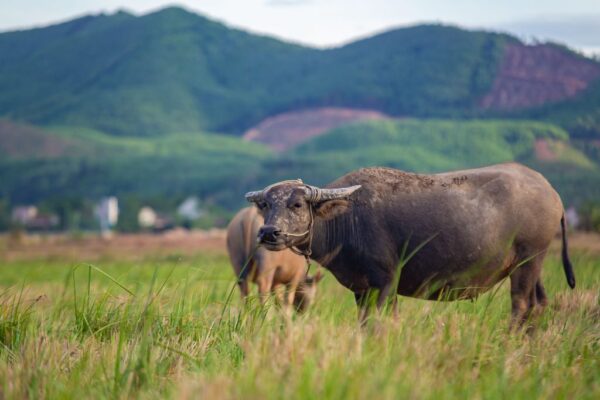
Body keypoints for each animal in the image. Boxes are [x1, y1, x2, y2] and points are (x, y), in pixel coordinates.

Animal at [245, 162, 576, 328]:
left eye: (297, 204)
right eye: (266, 204)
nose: (269, 233)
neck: (347, 218)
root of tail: (550, 191)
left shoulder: (384, 282)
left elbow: (378, 322)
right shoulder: (363, 289)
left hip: (529, 260)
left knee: (521, 305)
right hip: (533, 264)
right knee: (539, 303)